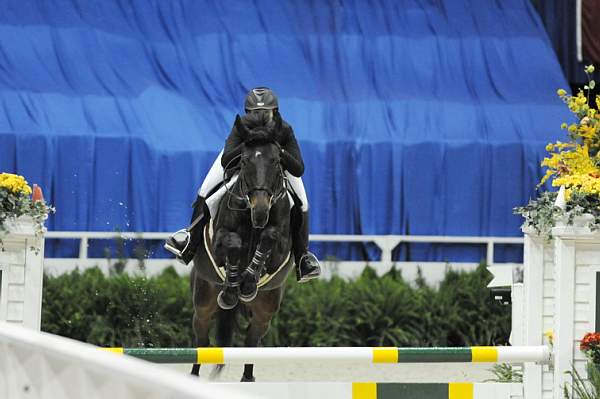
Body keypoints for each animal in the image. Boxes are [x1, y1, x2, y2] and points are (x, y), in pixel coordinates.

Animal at [190, 117, 296, 382]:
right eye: (245, 161)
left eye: (276, 160)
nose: (260, 211)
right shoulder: (219, 243)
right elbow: (233, 244)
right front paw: (235, 282)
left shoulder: (280, 249)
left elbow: (269, 238)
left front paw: (247, 280)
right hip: (204, 297)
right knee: (201, 335)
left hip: (265, 310)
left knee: (252, 340)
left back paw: (247, 378)